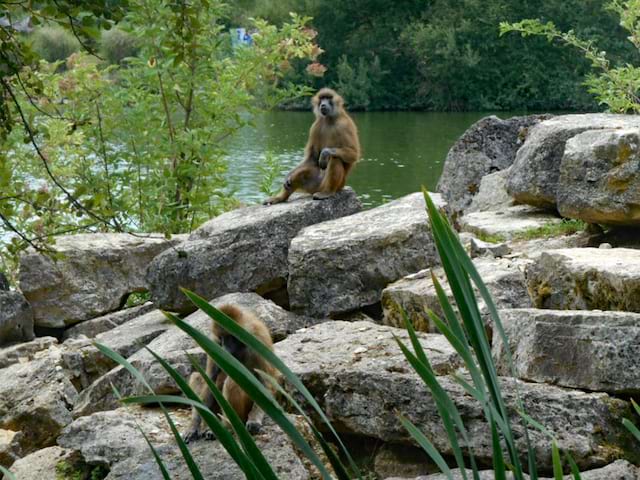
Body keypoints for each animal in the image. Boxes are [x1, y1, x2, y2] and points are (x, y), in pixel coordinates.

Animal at [182, 304, 278, 442]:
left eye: (231, 337)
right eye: (222, 338)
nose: (225, 348)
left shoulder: (258, 339)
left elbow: (266, 383)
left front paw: (254, 420)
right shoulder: (213, 343)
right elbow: (209, 380)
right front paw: (192, 427)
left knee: (232, 382)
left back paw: (228, 426)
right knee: (197, 377)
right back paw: (209, 427)